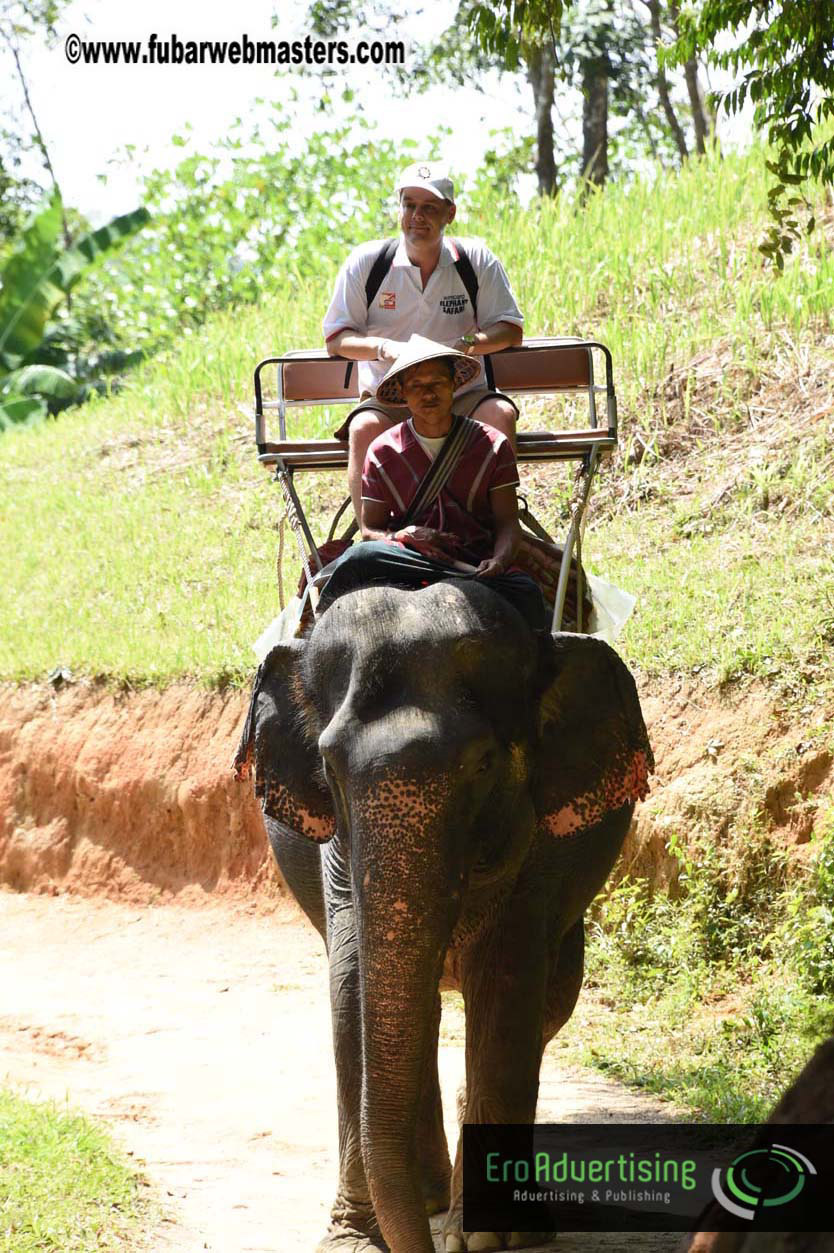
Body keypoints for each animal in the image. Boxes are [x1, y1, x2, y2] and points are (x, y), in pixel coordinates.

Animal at [235, 576, 653, 1253]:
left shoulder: (539, 851)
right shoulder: (336, 857)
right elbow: (352, 987)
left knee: (551, 996)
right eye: (328, 767)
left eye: (483, 765)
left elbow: (506, 986)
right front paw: (355, 1240)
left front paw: (485, 1238)